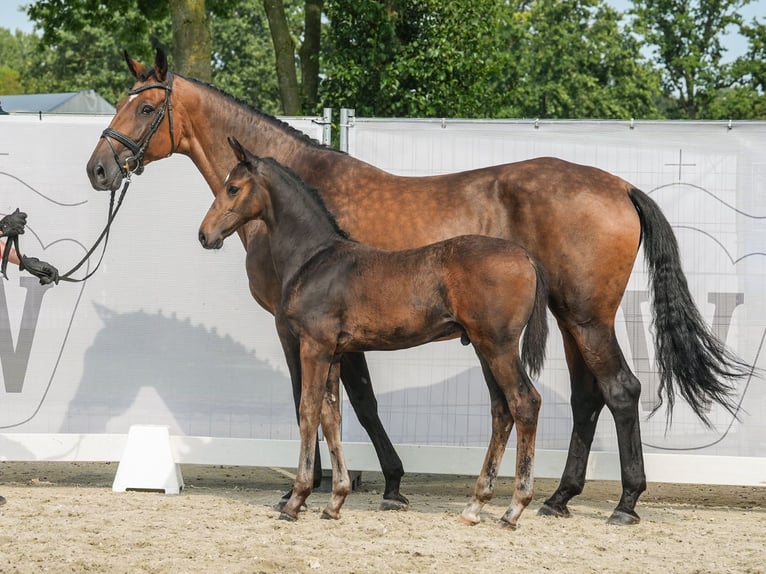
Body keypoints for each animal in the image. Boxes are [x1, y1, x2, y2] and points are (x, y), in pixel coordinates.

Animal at [195, 137, 548, 528]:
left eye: (233, 187)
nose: (205, 234)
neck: (315, 259)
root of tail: (526, 257)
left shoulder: (314, 346)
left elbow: (307, 411)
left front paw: (296, 499)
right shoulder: (335, 352)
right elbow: (331, 416)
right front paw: (335, 500)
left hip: (498, 346)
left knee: (524, 403)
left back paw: (514, 508)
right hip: (483, 347)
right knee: (502, 411)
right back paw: (475, 505)